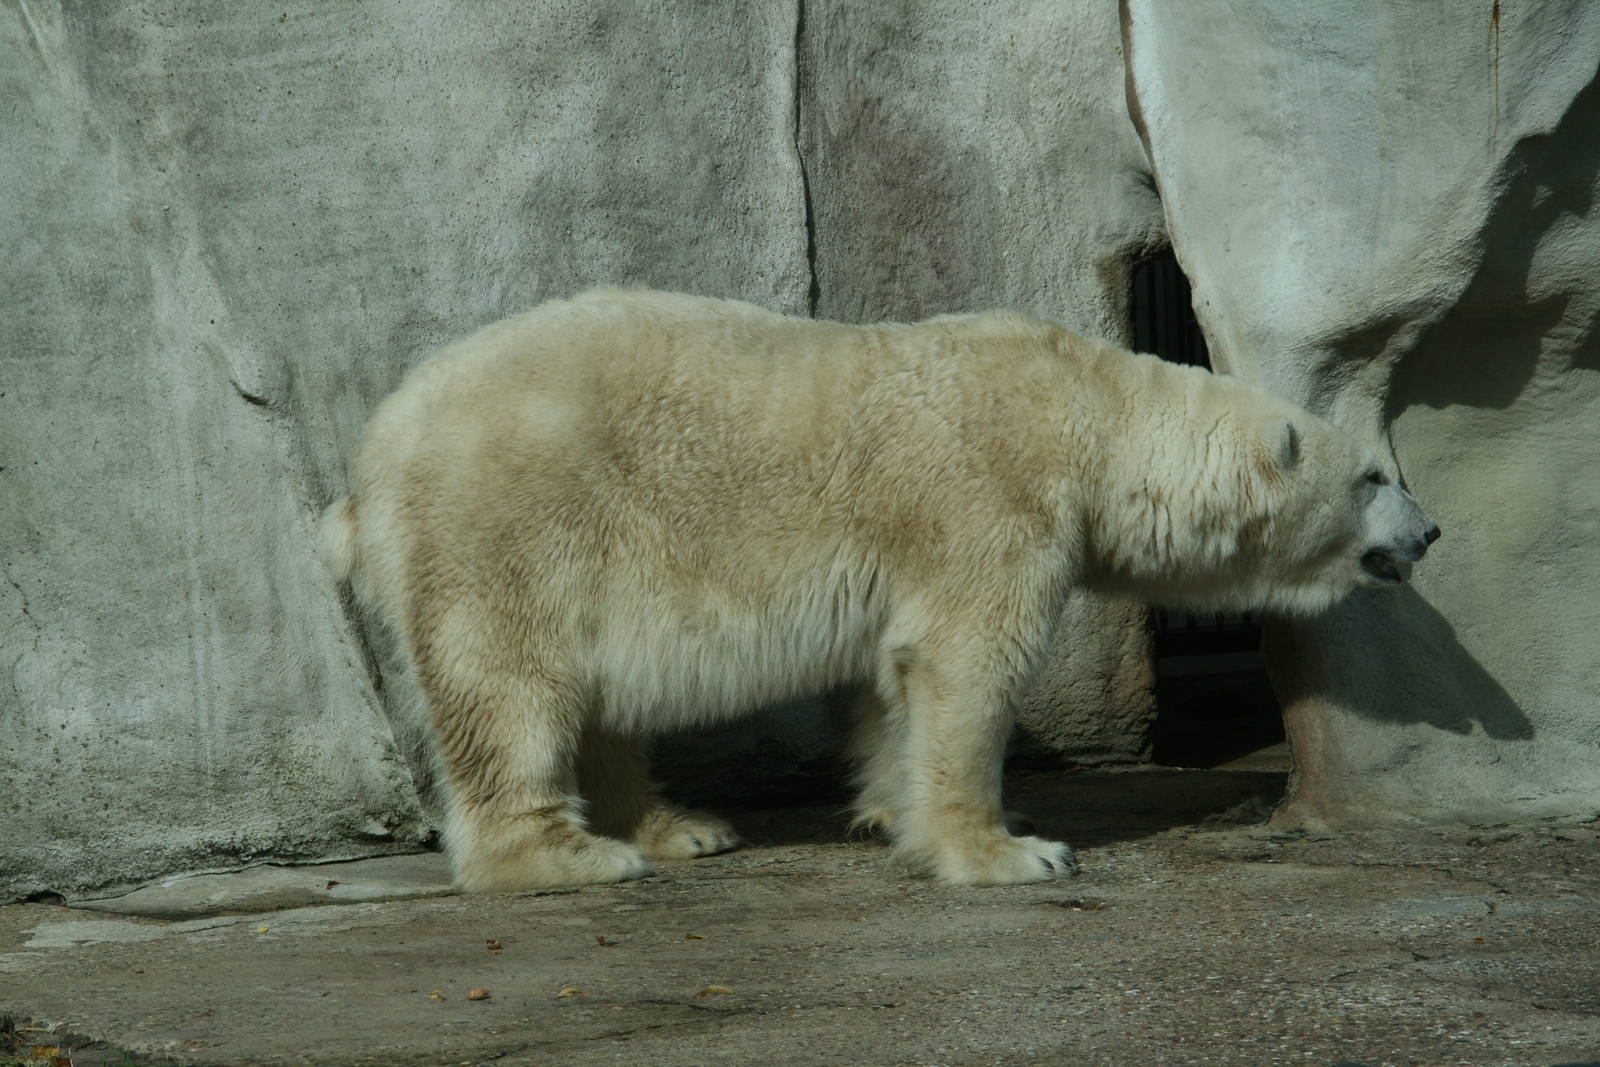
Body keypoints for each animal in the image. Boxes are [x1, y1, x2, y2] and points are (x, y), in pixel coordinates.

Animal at [323, 289, 1439, 890]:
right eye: (1372, 477)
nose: (1428, 532)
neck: (1086, 416)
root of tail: (369, 463)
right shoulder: (988, 500)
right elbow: (966, 661)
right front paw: (1014, 849)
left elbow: (888, 679)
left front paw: (888, 807)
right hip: (510, 519)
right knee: (510, 683)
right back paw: (570, 855)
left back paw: (679, 825)